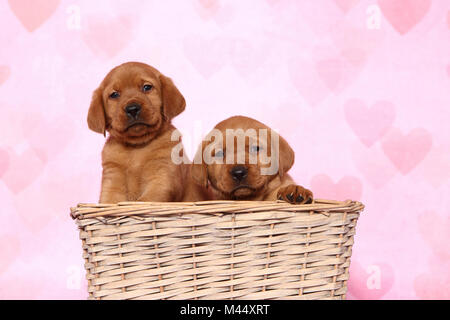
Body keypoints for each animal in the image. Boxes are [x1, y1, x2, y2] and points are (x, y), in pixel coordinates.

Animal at [88, 61, 204, 204]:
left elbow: (148, 199)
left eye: (147, 87)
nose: (132, 109)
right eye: (114, 95)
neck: (136, 147)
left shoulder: (161, 176)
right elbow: (109, 200)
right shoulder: (112, 178)